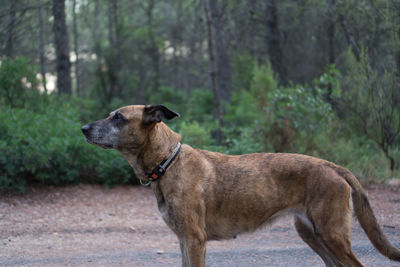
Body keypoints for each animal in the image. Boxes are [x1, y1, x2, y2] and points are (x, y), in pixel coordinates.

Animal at [82, 105, 400, 267]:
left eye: (118, 117)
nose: (83, 128)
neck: (167, 162)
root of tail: (333, 166)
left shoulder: (194, 239)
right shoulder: (183, 240)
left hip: (331, 234)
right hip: (313, 234)